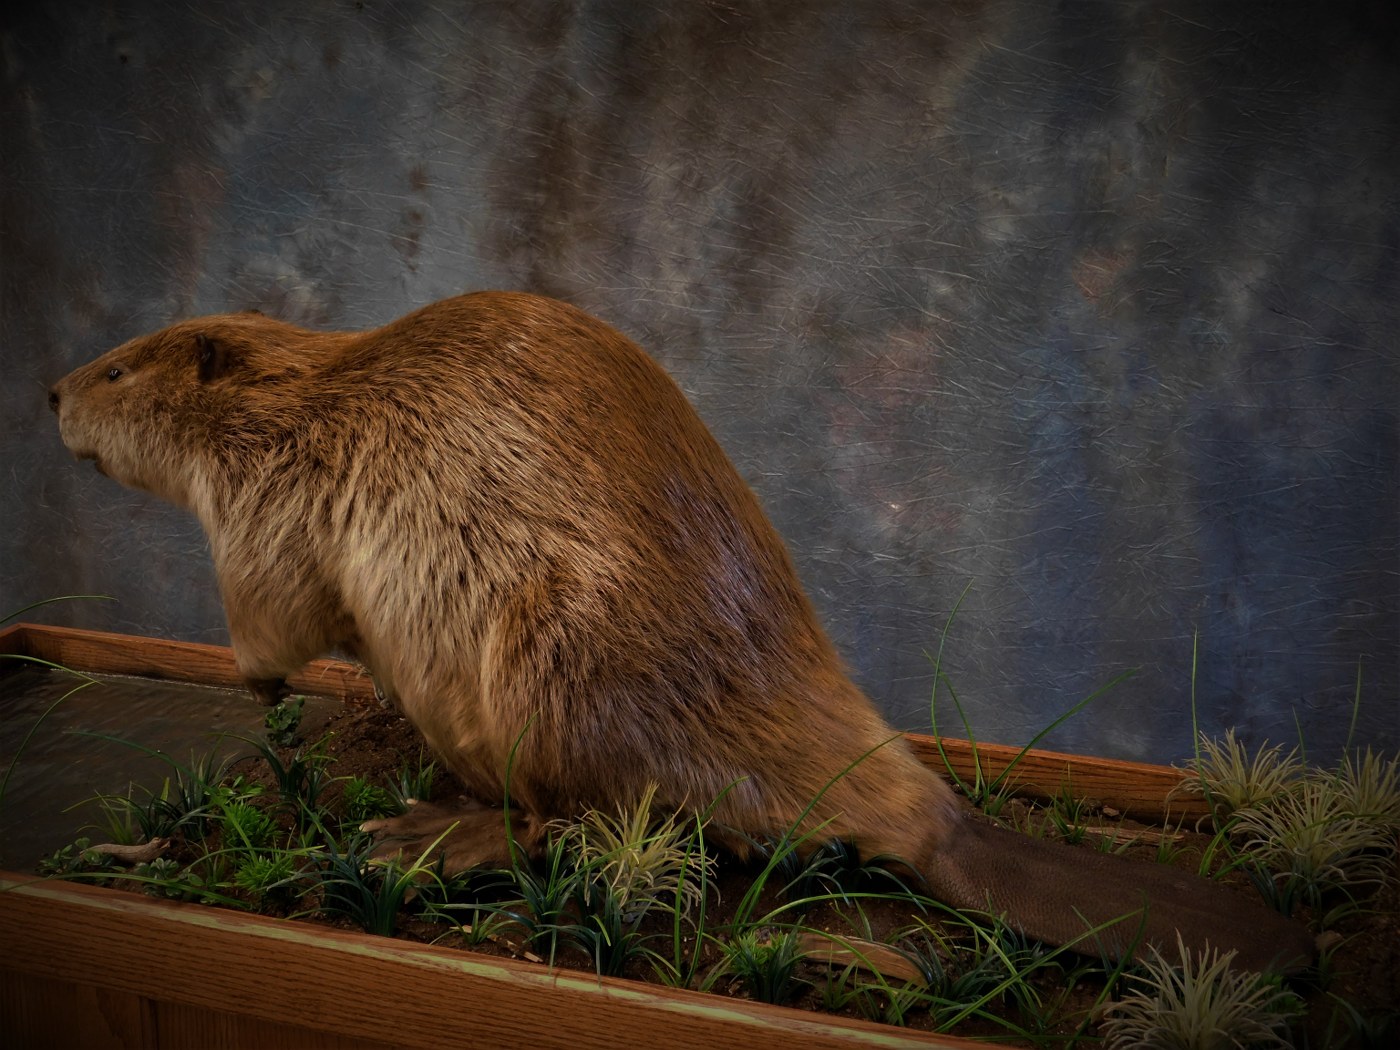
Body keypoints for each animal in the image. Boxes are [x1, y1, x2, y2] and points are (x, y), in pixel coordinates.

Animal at [46, 292, 1310, 974]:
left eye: (119, 365)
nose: (51, 394)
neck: (311, 395)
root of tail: (937, 822)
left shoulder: (268, 504)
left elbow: (269, 618)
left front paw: (268, 697)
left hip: (554, 665)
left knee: (591, 820)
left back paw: (423, 835)